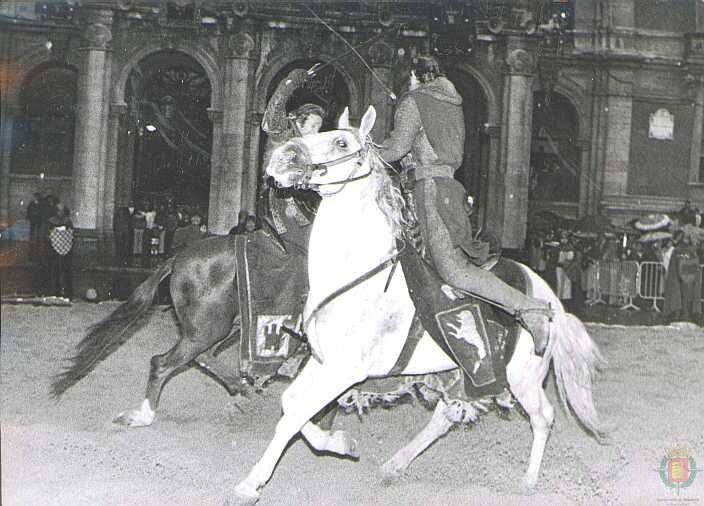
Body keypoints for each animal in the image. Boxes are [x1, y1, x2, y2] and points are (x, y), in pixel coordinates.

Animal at [232, 105, 604, 502]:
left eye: (341, 142)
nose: (281, 158)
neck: (359, 279)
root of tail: (550, 300)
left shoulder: (344, 371)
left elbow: (295, 414)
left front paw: (252, 484)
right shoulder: (323, 362)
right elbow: (292, 406)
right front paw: (338, 443)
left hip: (523, 378)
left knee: (543, 417)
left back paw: (529, 481)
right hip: (462, 371)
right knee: (444, 417)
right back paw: (394, 466)